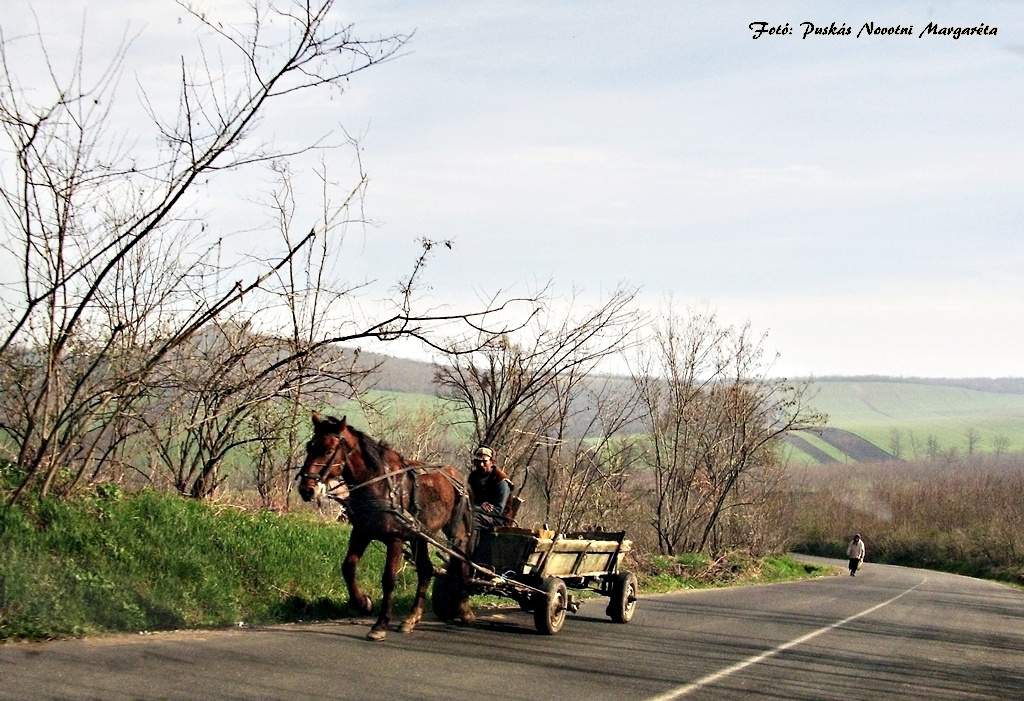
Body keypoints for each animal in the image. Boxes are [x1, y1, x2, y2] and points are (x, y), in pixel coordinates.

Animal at [294, 409, 473, 638]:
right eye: (310, 446)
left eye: (328, 450)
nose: (307, 490)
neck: (378, 483)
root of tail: (458, 476)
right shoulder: (361, 532)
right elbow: (348, 567)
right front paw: (363, 603)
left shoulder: (395, 539)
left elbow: (388, 580)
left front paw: (380, 624)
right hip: (419, 535)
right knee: (426, 570)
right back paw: (411, 618)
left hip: (457, 532)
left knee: (462, 564)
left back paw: (464, 609)